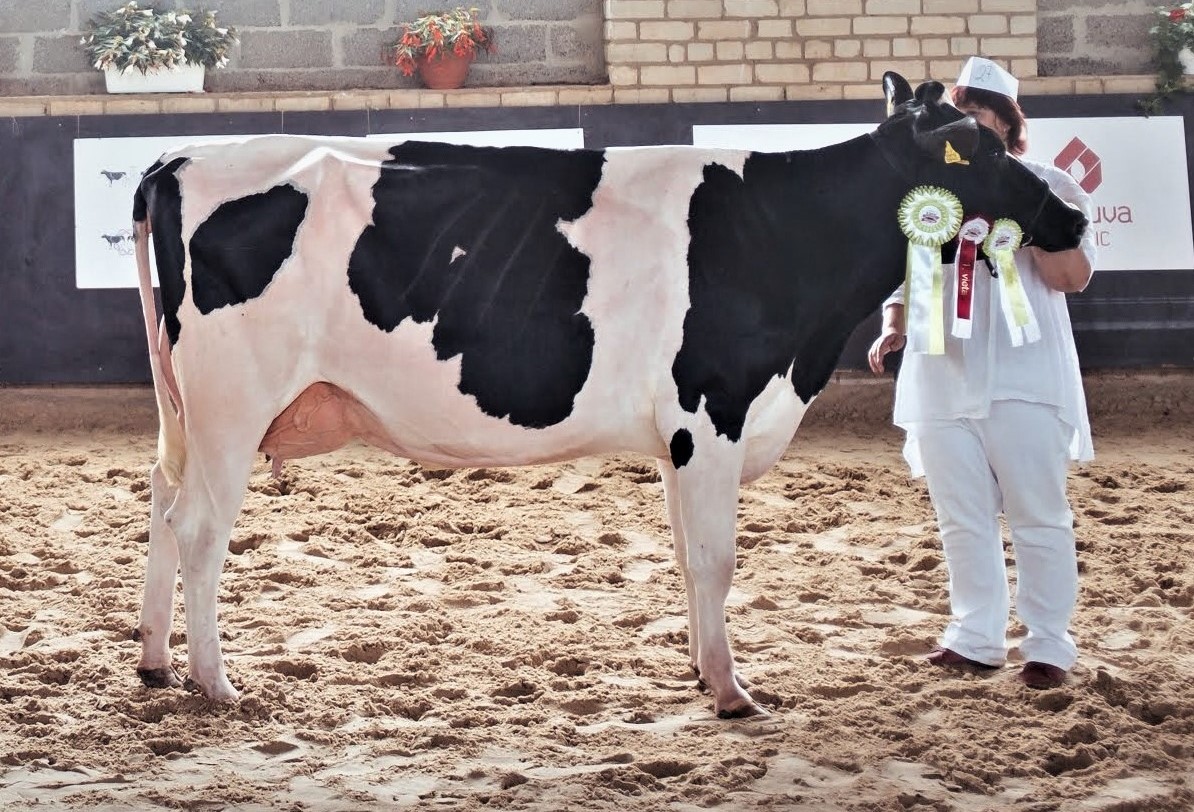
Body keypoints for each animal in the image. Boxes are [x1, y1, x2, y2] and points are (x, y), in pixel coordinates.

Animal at [129, 73, 1087, 718]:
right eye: (986, 150)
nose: (1075, 218)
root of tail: (181, 155)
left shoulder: (680, 436)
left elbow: (687, 558)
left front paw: (702, 670)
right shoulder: (714, 412)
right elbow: (717, 559)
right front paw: (732, 692)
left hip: (185, 414)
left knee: (161, 503)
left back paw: (153, 661)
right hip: (231, 407)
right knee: (200, 528)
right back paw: (216, 682)